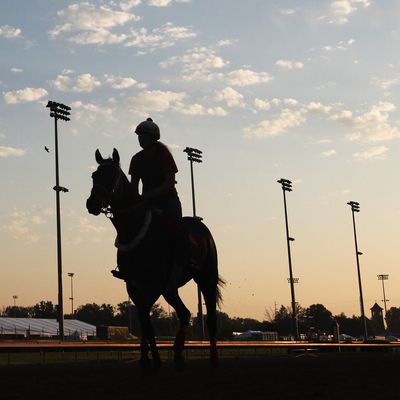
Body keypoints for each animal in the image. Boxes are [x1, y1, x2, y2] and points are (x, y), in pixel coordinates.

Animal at [86, 148, 223, 370]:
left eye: (112, 176)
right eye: (94, 175)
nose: (92, 204)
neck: (135, 230)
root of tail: (202, 228)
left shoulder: (154, 283)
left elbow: (146, 318)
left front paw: (155, 360)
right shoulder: (133, 284)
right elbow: (144, 320)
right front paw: (146, 359)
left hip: (206, 277)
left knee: (210, 318)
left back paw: (213, 360)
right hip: (171, 288)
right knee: (184, 314)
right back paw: (177, 354)